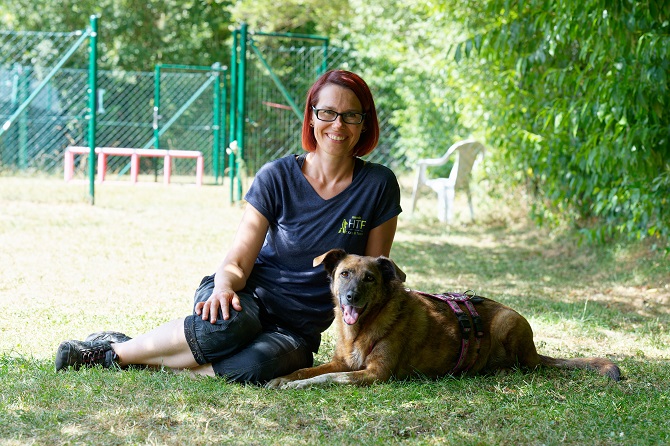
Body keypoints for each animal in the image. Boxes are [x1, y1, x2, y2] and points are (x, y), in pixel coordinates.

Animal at [266, 249, 624, 388]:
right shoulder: (344, 361)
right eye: (344, 274)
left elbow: (326, 377)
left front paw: (297, 385)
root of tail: (537, 353)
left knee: (522, 366)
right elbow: (308, 369)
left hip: (508, 322)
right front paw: (283, 378)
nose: (351, 297)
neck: (364, 327)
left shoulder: (376, 374)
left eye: (369, 278)